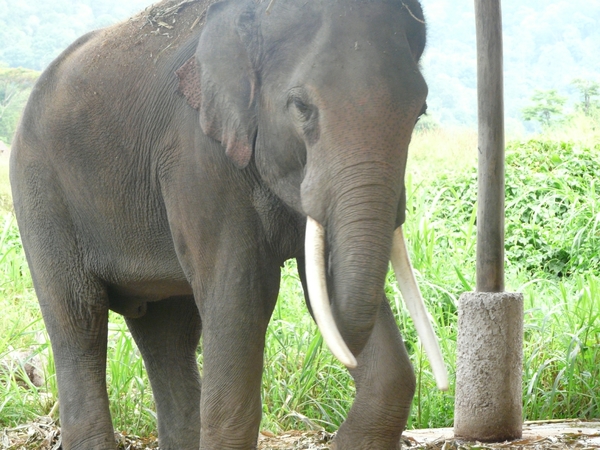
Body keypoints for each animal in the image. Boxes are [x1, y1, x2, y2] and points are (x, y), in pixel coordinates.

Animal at [9, 0, 446, 448]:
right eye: (301, 107)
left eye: (419, 113)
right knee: (79, 318)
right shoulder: (197, 161)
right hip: (39, 188)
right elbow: (242, 296)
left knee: (167, 330)